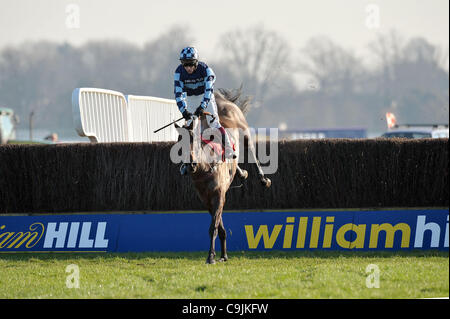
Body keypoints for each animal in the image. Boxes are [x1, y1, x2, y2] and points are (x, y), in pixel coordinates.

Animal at [174, 88, 268, 264]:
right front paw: (223, 255)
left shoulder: (219, 194)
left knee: (251, 148)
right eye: (179, 143)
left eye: (194, 141)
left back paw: (263, 179)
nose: (190, 165)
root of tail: (221, 99)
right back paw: (242, 173)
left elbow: (214, 227)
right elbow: (219, 225)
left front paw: (211, 256)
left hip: (243, 127)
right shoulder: (206, 198)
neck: (204, 169)